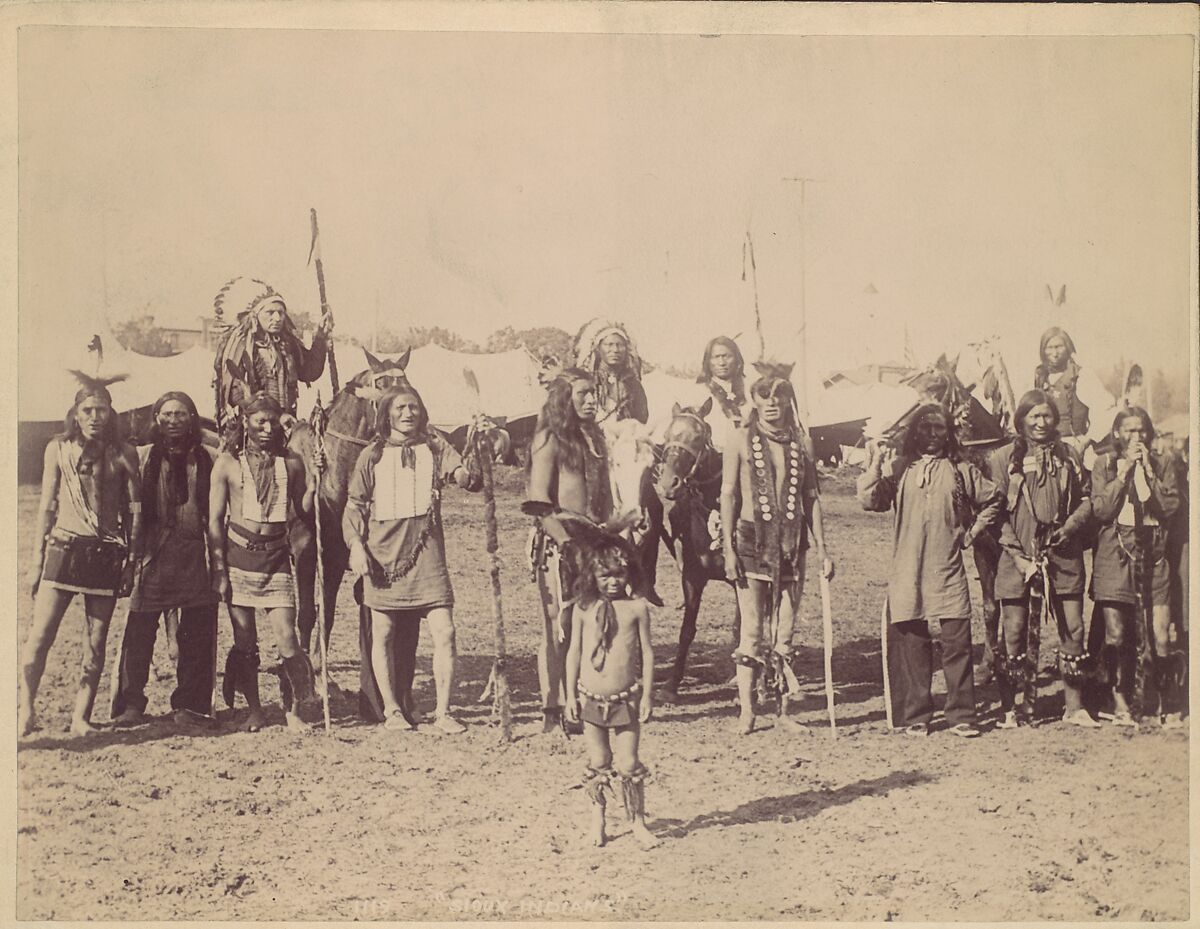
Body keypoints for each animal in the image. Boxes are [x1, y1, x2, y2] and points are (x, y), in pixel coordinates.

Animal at [648, 400, 739, 705]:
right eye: (667, 436)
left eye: (698, 437)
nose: (668, 484)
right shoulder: (691, 577)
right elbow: (687, 631)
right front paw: (671, 685)